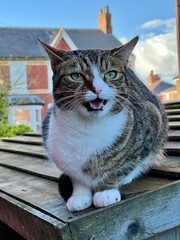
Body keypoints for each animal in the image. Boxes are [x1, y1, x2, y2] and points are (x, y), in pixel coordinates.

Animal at [39, 37, 167, 212]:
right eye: (76, 76)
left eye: (111, 74)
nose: (97, 89)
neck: (89, 128)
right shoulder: (61, 156)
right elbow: (76, 176)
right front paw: (79, 195)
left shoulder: (152, 122)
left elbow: (123, 166)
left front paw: (106, 191)